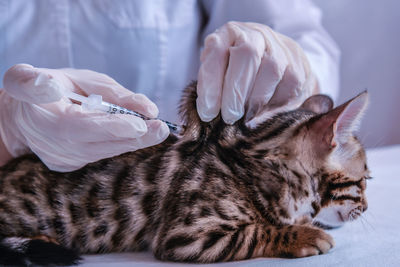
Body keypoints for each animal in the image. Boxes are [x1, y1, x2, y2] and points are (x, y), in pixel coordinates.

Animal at [0, 82, 372, 266]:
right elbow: (258, 231)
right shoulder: (187, 235)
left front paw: (306, 224)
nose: (367, 208)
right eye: (365, 181)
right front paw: (304, 235)